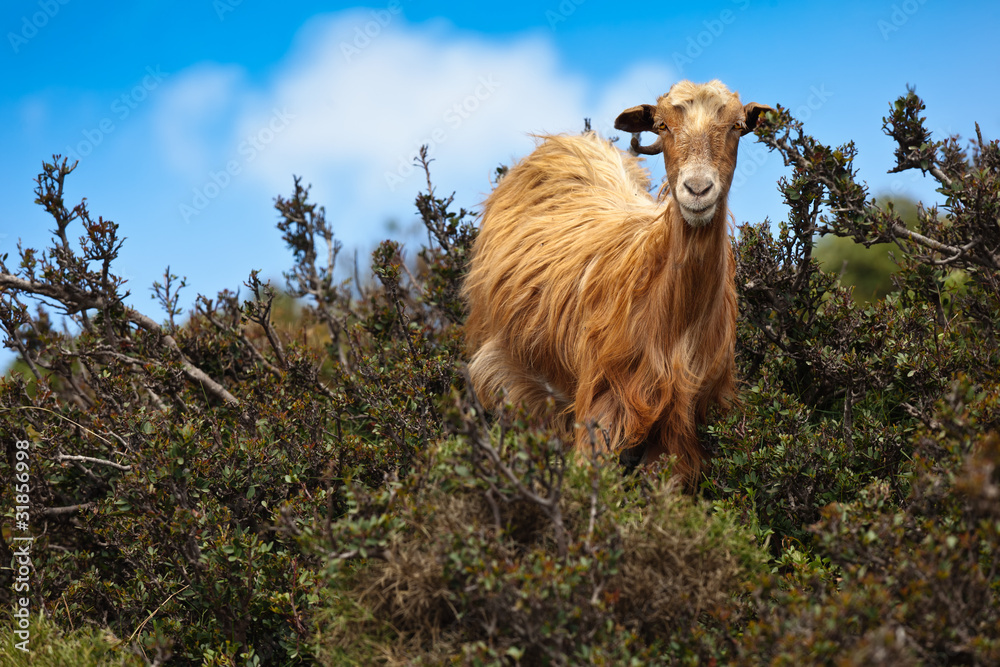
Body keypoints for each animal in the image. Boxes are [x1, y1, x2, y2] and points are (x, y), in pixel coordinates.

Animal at [462, 80, 772, 487]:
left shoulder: (682, 426)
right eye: (662, 125)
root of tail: (567, 142)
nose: (697, 189)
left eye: (736, 126)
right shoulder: (604, 402)